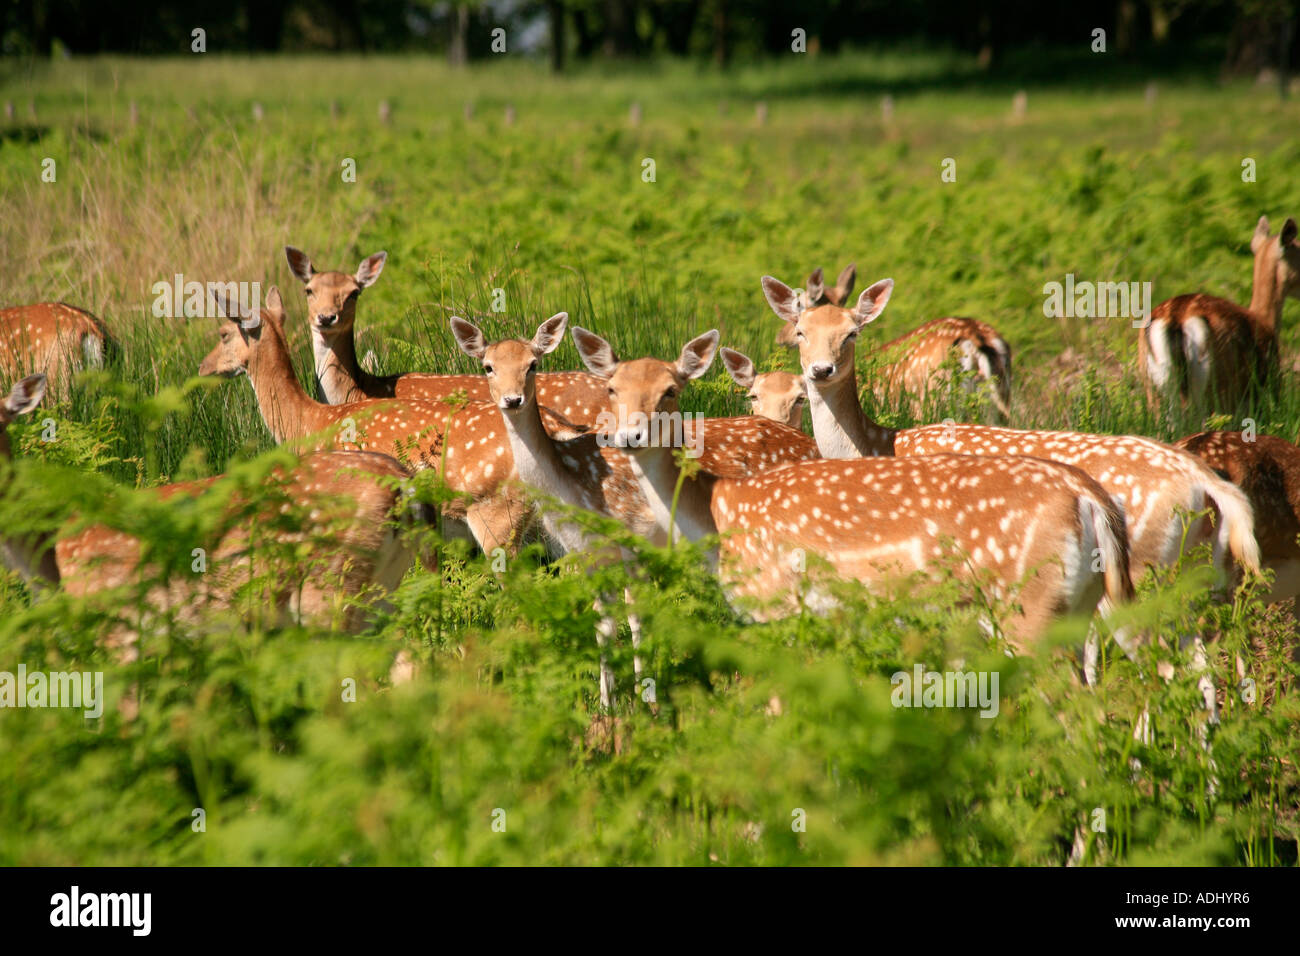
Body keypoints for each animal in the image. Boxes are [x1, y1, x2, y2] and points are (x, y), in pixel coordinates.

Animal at [571, 327, 1133, 647]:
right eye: (612, 388)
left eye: (671, 390)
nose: (628, 435)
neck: (718, 513)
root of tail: (1091, 500)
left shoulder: (774, 602)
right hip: (1078, 604)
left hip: (1029, 607)